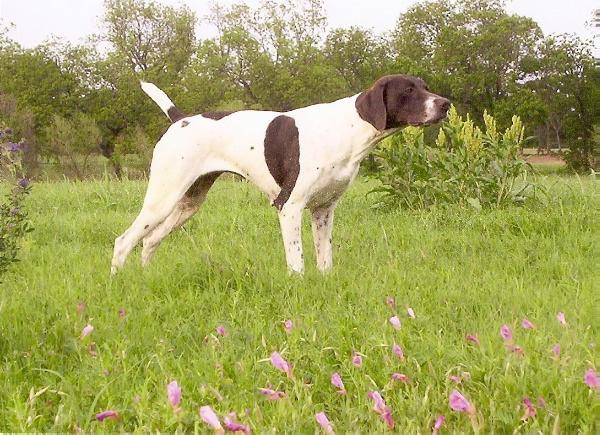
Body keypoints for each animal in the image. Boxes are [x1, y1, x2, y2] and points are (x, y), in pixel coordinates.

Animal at [111, 73, 450, 274]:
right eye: (408, 90)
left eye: (425, 87)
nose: (446, 104)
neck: (347, 129)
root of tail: (181, 119)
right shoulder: (289, 206)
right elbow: (297, 261)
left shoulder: (324, 210)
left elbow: (324, 260)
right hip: (162, 199)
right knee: (124, 241)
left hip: (188, 204)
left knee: (149, 241)